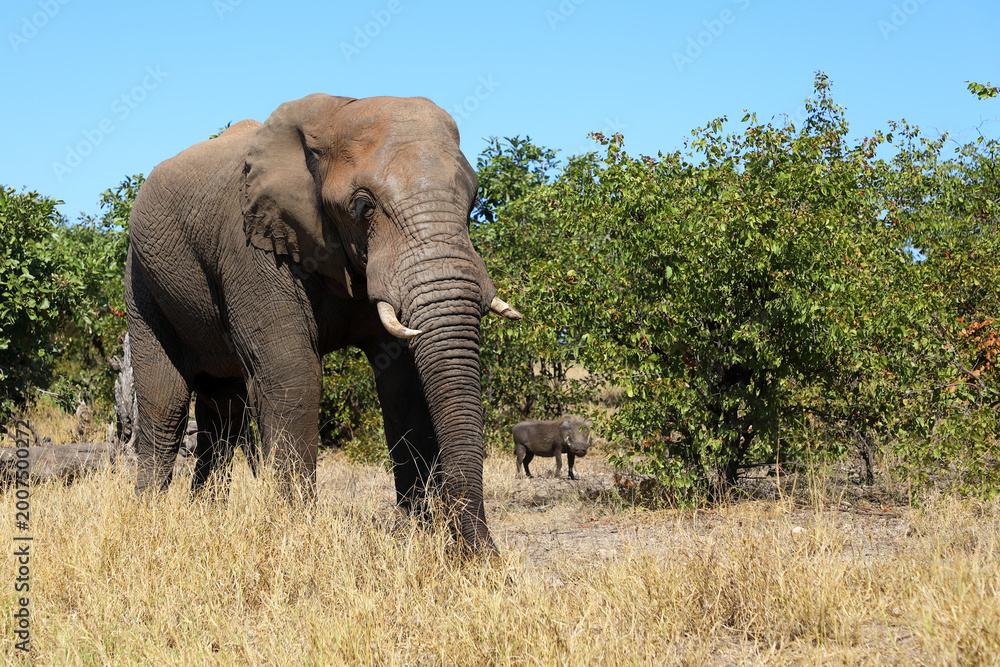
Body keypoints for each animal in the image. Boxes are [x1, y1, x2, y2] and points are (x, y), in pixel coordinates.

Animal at [125, 94, 521, 553]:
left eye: (473, 203)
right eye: (363, 207)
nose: (483, 557)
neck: (337, 113)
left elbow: (403, 382)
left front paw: (414, 532)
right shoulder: (252, 247)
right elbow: (292, 371)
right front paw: (294, 532)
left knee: (222, 408)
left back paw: (206, 514)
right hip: (141, 279)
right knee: (165, 402)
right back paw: (149, 515)